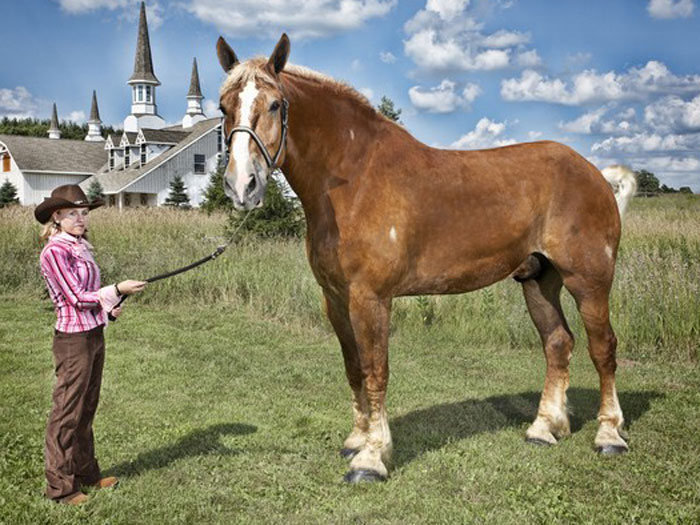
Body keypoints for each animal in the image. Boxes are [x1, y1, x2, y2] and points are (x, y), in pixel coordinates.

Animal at [216, 33, 636, 484]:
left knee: (603, 348)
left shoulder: (371, 298)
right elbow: (353, 368)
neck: (355, 179)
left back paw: (609, 435)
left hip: (588, 280)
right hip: (539, 280)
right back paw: (544, 429)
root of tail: (595, 174)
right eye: (223, 106)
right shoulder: (335, 298)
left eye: (275, 104)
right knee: (558, 343)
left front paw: (371, 458)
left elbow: (375, 369)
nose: (242, 185)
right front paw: (356, 440)